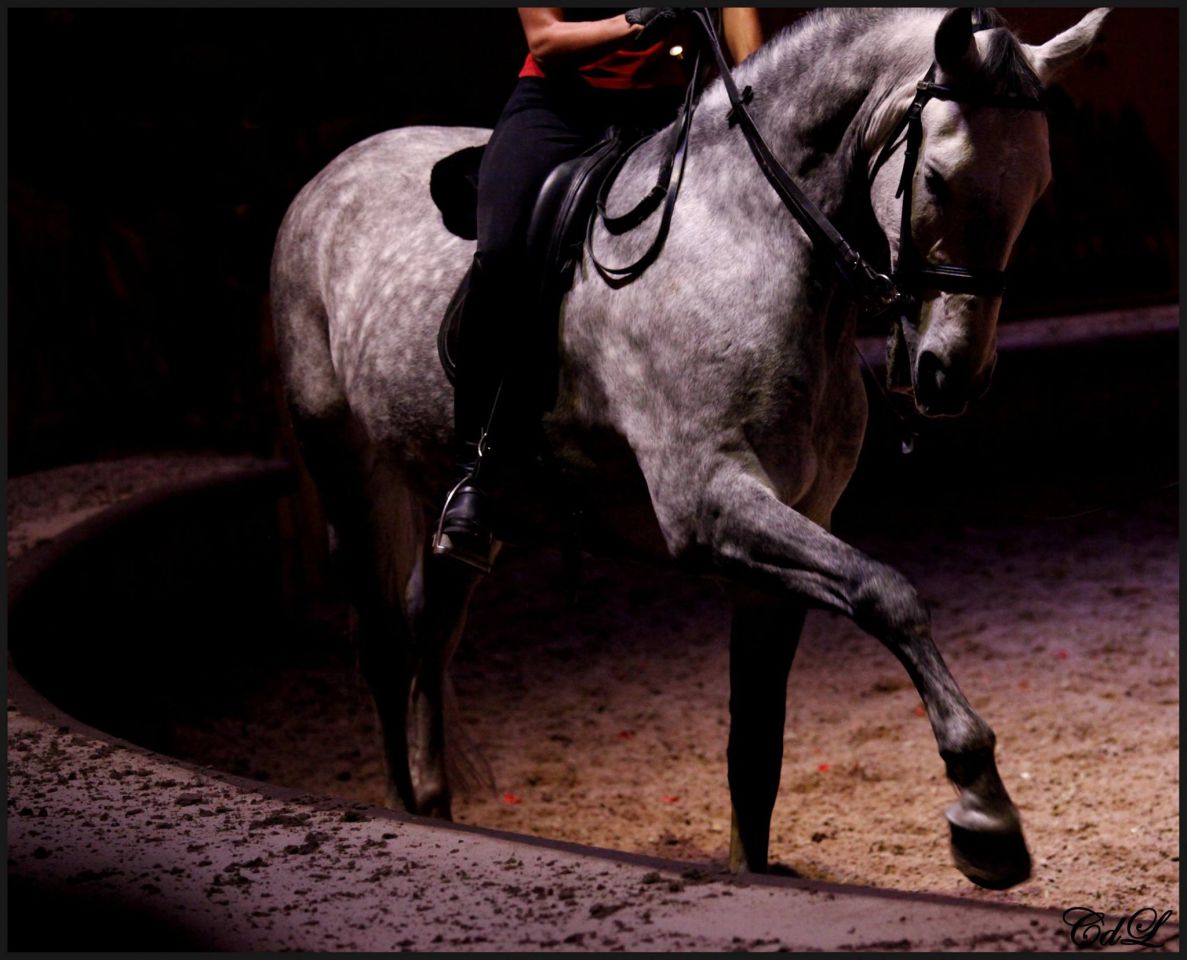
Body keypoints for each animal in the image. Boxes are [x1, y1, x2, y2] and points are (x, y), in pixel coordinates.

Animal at [270, 7, 1108, 888]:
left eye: (1038, 184)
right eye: (940, 178)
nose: (953, 374)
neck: (749, 237)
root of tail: (331, 172)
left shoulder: (790, 525)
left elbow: (757, 745)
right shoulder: (707, 506)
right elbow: (887, 592)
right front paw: (984, 811)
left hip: (456, 494)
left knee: (429, 622)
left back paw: (435, 807)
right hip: (345, 469)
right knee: (380, 643)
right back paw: (398, 810)